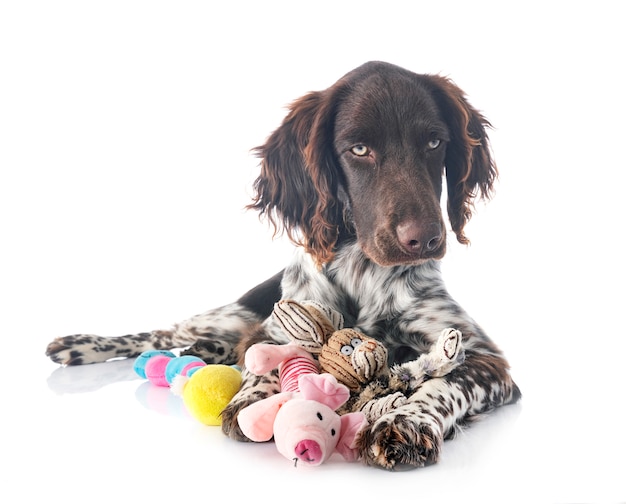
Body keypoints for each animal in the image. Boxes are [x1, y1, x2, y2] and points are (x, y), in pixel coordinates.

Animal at [46, 62, 520, 468]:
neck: (361, 271)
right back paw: (80, 344)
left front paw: (406, 420)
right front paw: (255, 399)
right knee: (166, 331)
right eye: (359, 149)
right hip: (231, 314)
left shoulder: (484, 356)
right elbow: (270, 356)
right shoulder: (281, 324)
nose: (424, 239)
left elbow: (445, 383)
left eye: (435, 143)